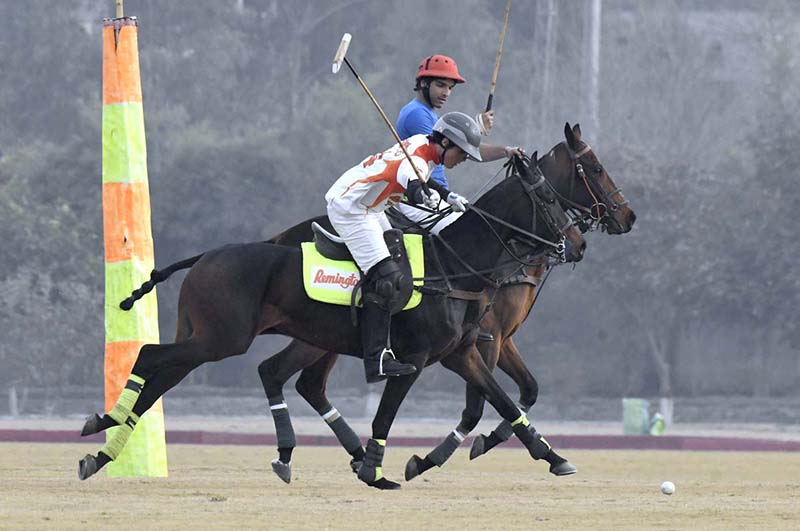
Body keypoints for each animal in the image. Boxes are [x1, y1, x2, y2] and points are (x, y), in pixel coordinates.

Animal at [78, 147, 584, 490]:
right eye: (549, 199)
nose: (575, 243)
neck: (451, 264)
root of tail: (204, 257)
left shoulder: (461, 353)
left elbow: (504, 402)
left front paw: (553, 456)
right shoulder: (416, 358)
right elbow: (386, 415)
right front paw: (374, 468)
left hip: (208, 337)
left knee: (166, 378)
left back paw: (102, 453)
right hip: (221, 339)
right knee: (150, 354)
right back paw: (103, 425)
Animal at [260, 123, 636, 482]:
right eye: (596, 168)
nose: (628, 217)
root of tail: (277, 238)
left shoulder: (488, 342)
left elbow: (522, 393)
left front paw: (542, 454)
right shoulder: (487, 340)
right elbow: (477, 408)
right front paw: (437, 456)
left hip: (323, 338)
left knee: (297, 380)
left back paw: (333, 455)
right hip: (318, 336)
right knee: (284, 375)